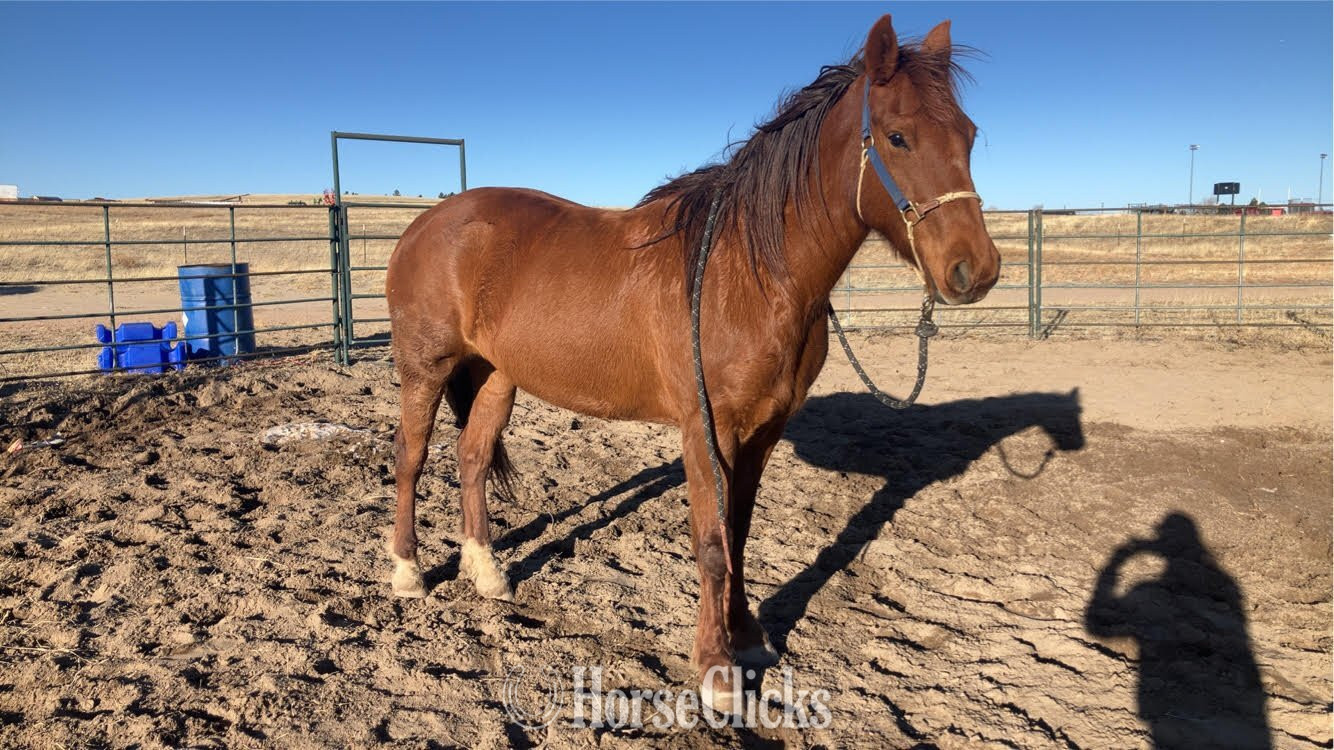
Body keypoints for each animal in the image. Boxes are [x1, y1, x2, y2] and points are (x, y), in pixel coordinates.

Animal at [384, 13, 1000, 713]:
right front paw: (716, 670)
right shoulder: (708, 429)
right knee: (410, 455)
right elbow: (710, 545)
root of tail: (422, 225)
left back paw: (487, 574)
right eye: (898, 137)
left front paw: (749, 637)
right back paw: (407, 572)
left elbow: (739, 534)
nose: (975, 270)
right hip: (426, 368)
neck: (749, 272)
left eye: (968, 135)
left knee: (472, 457)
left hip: (496, 375)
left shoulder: (764, 431)